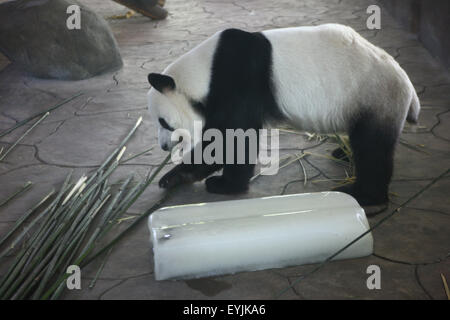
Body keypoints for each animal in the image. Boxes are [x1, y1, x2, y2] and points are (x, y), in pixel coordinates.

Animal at [147, 23, 418, 206]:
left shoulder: (237, 81)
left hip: (375, 96)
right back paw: (343, 154)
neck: (204, 71)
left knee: (372, 148)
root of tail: (406, 83)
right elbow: (217, 142)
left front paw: (224, 185)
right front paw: (172, 177)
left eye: (164, 122)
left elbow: (233, 139)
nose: (163, 146)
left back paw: (363, 194)